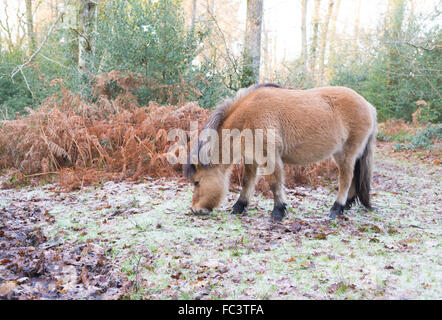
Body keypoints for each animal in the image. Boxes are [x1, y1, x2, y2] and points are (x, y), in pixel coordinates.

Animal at [183, 84, 376, 221]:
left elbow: (274, 183)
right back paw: (347, 205)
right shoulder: (251, 158)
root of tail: (368, 105)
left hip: (345, 154)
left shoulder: (269, 156)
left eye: (197, 182)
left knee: (346, 179)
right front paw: (239, 206)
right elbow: (247, 182)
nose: (195, 209)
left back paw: (336, 208)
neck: (247, 116)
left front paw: (278, 211)